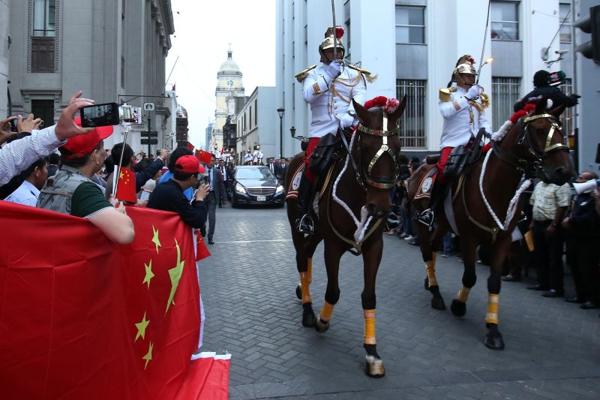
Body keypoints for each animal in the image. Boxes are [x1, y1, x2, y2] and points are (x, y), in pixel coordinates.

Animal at [286, 97, 408, 378]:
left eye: (398, 146)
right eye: (366, 146)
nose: (380, 208)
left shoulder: (375, 246)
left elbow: (369, 296)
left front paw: (372, 353)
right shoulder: (332, 246)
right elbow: (333, 291)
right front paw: (322, 321)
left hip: (316, 233)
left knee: (307, 258)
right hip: (298, 229)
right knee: (301, 260)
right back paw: (308, 310)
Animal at [408, 101, 572, 350]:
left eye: (561, 129)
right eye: (540, 129)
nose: (564, 171)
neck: (495, 185)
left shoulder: (503, 238)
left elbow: (494, 282)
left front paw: (493, 330)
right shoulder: (468, 237)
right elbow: (469, 277)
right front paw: (458, 305)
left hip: (444, 224)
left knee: (434, 248)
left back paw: (430, 280)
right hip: (421, 221)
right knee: (427, 252)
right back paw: (436, 294)